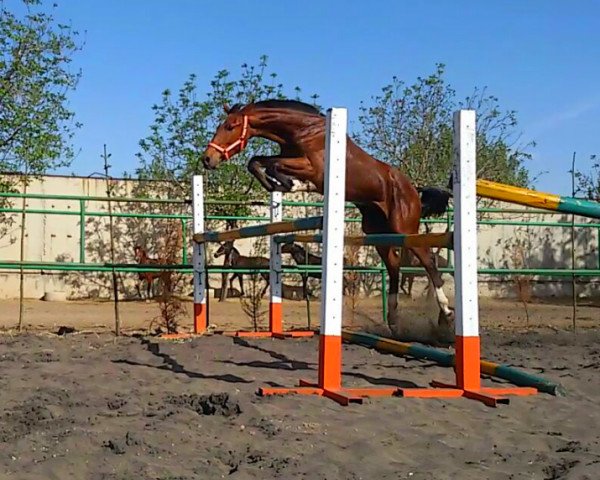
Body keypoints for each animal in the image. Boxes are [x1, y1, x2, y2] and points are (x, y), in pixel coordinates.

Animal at [202, 97, 450, 330]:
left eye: (230, 126)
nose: (207, 159)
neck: (303, 130)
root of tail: (413, 189)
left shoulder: (313, 169)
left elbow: (273, 166)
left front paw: (289, 184)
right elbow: (256, 161)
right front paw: (280, 185)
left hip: (405, 228)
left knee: (428, 261)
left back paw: (446, 313)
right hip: (378, 232)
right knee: (394, 266)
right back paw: (394, 319)